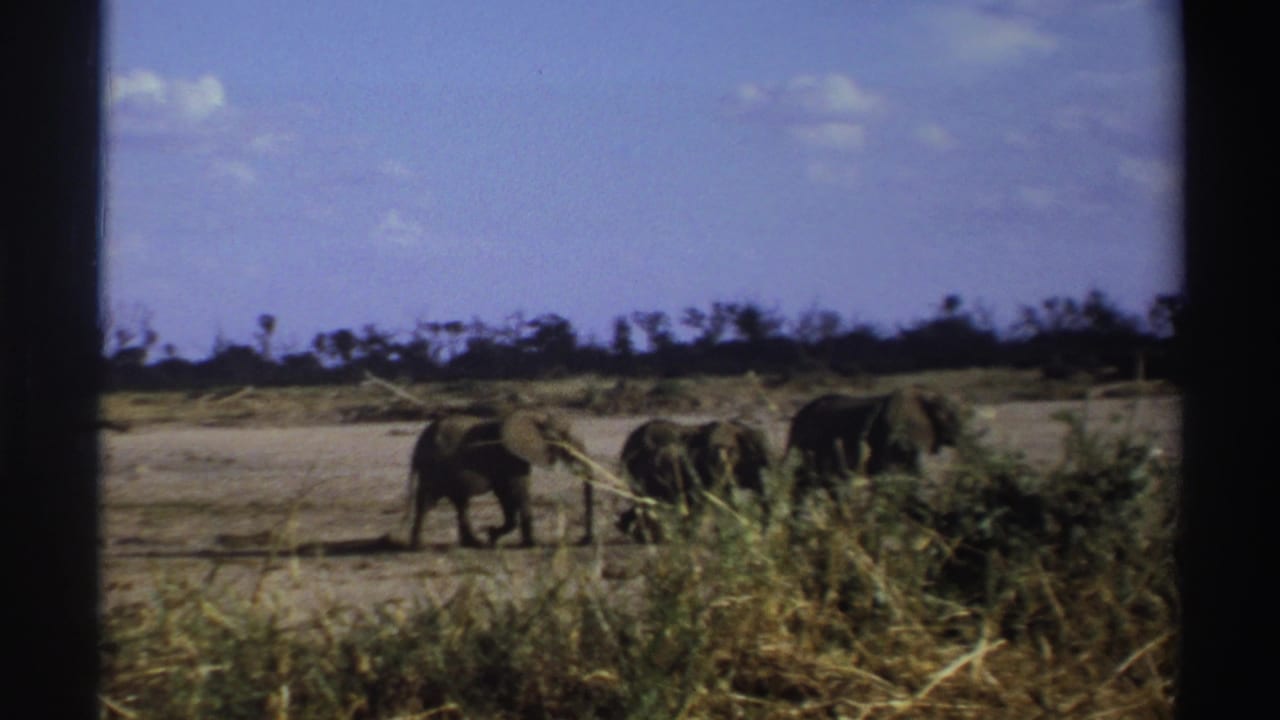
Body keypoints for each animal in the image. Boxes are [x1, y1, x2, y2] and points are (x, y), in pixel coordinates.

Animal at [407, 409, 593, 549]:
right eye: (563, 437)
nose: (583, 540)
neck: (532, 415)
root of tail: (417, 445)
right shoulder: (510, 457)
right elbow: (518, 491)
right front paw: (530, 544)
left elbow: (505, 495)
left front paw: (492, 535)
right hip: (434, 468)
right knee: (430, 501)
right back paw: (420, 547)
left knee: (457, 502)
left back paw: (472, 544)